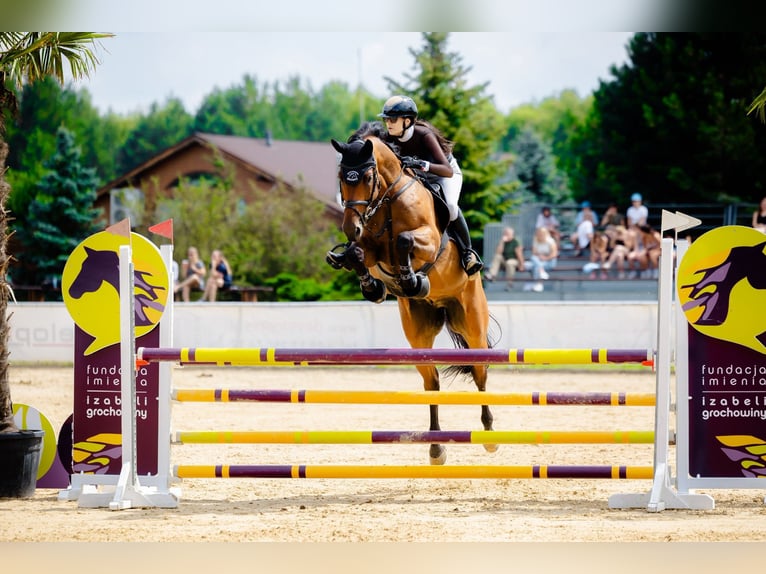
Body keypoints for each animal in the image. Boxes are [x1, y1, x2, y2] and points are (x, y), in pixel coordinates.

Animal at [328, 122, 496, 465]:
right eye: (341, 177)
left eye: (367, 177)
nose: (350, 228)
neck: (388, 200)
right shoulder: (370, 247)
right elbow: (356, 254)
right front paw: (374, 287)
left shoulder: (427, 240)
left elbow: (405, 241)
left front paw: (411, 280)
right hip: (418, 334)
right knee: (432, 382)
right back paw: (435, 448)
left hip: (472, 322)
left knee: (480, 373)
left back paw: (488, 434)